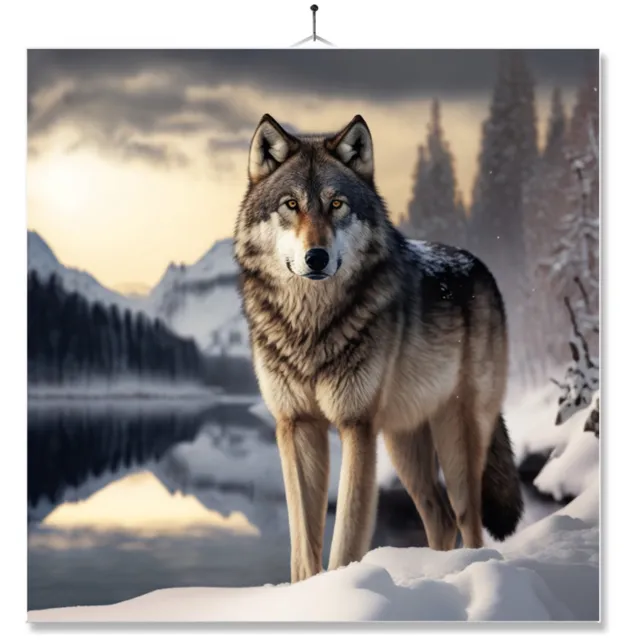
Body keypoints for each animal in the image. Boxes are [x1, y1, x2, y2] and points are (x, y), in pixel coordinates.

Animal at [233, 113, 523, 584]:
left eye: (336, 204)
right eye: (291, 204)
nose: (316, 257)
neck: (312, 327)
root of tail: (480, 267)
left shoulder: (357, 425)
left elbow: (347, 535)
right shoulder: (295, 424)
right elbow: (303, 542)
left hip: (455, 439)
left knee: (468, 520)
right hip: (403, 441)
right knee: (440, 518)